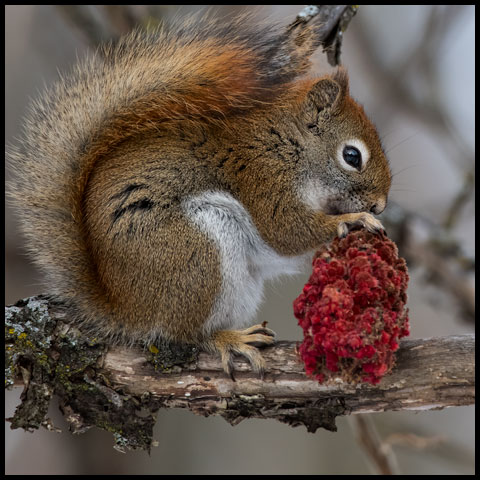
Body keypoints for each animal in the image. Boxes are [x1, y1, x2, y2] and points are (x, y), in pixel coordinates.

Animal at [7, 13, 390, 376]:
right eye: (352, 156)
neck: (286, 144)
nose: (380, 205)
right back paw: (229, 339)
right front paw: (354, 219)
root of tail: (124, 307)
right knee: (185, 334)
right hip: (197, 251)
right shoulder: (262, 178)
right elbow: (287, 231)